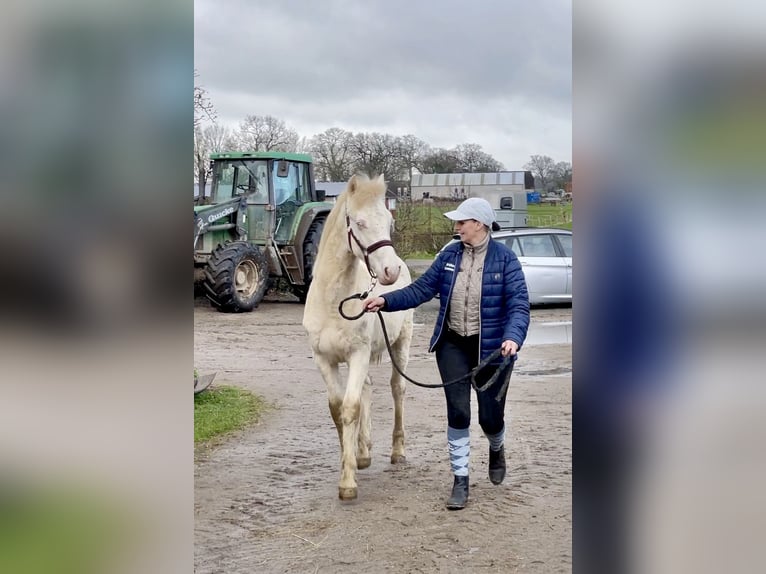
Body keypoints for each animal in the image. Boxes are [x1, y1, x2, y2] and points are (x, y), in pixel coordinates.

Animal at [304, 173, 416, 502]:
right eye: (360, 222)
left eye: (389, 222)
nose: (390, 271)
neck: (334, 301)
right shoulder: (324, 359)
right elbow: (337, 408)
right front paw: (352, 458)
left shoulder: (358, 355)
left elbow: (350, 407)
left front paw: (347, 482)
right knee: (366, 388)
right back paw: (364, 452)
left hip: (400, 345)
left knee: (397, 390)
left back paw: (397, 451)